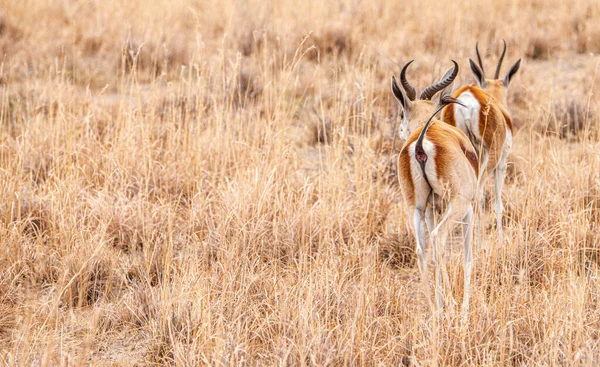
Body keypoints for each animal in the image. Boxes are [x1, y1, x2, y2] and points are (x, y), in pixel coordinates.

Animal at [392, 61, 480, 320]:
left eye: (402, 113)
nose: (400, 130)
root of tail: (421, 143)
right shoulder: (468, 209)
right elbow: (467, 258)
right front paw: (463, 310)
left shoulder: (432, 208)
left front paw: (441, 305)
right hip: (456, 206)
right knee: (438, 239)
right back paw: (451, 306)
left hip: (416, 207)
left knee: (422, 250)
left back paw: (433, 309)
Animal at [440, 41, 520, 242]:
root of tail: (468, 96)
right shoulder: (501, 163)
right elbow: (497, 201)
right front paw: (500, 237)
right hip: (491, 157)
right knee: (477, 192)